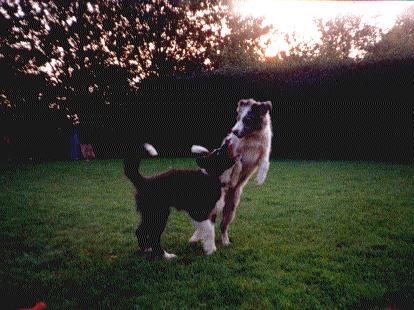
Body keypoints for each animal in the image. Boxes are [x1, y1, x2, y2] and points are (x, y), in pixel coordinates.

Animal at [192, 98, 274, 246]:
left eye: (248, 119)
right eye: (238, 118)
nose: (234, 131)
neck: (252, 136)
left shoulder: (264, 151)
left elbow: (265, 163)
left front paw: (260, 179)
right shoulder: (233, 151)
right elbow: (238, 163)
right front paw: (235, 177)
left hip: (231, 209)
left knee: (223, 226)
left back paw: (225, 241)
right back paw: (196, 238)